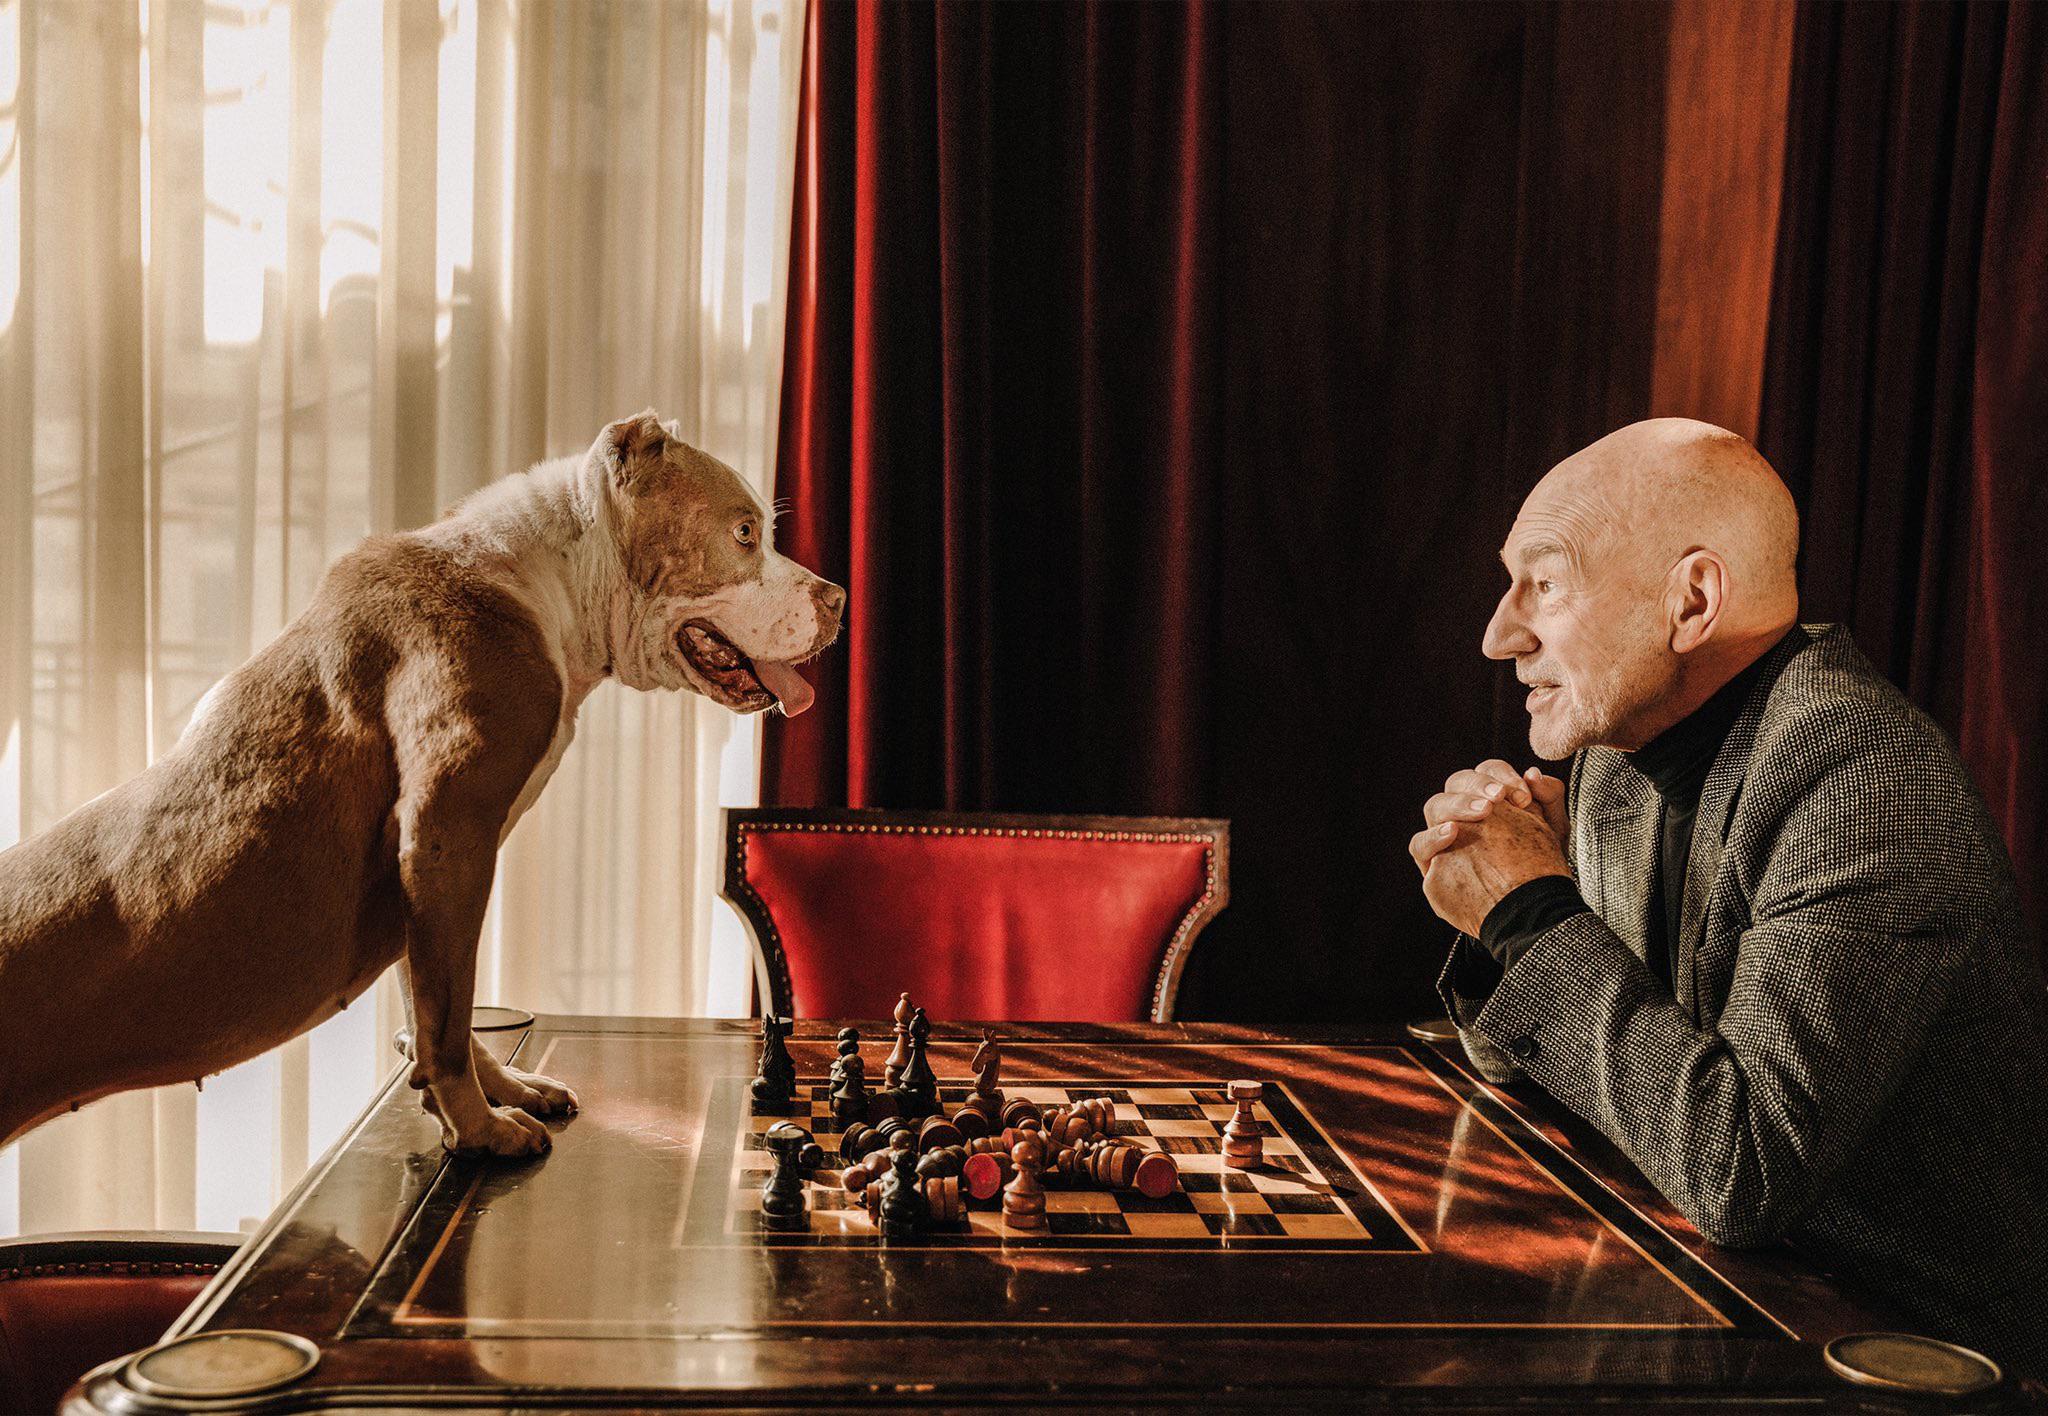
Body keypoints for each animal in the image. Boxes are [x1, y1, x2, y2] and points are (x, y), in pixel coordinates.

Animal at [0, 407, 839, 1155]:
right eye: (744, 532)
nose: (837, 598)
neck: (549, 579)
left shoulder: (425, 867)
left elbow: (439, 996)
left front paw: (504, 1089)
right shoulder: (448, 831)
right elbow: (447, 1011)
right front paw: (478, 1129)